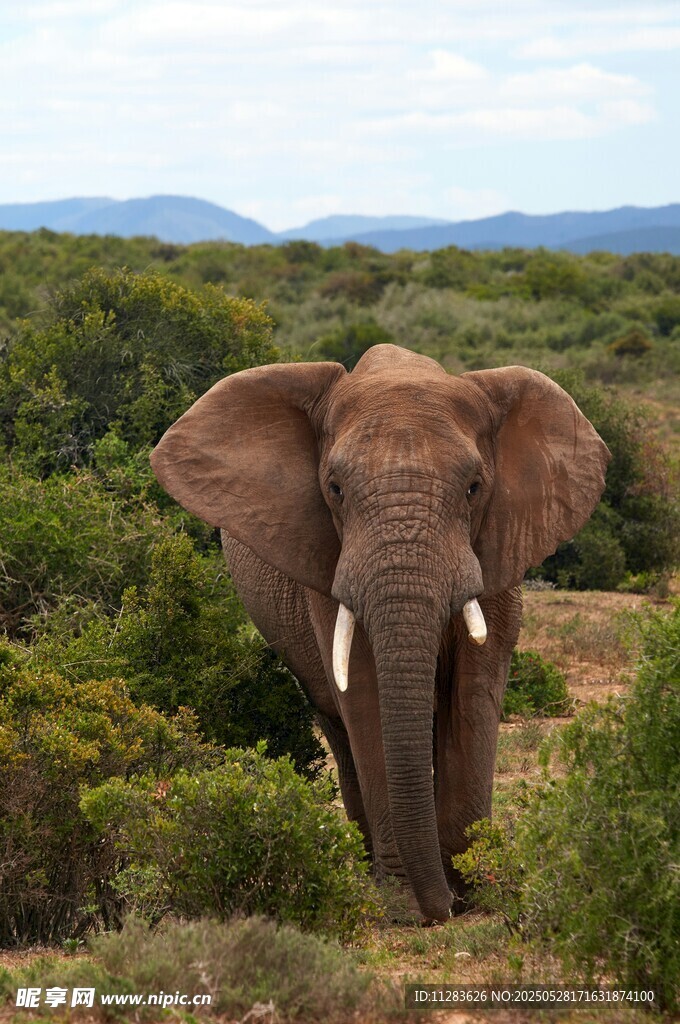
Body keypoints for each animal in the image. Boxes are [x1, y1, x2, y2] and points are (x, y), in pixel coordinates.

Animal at [150, 343, 610, 922]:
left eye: (474, 488)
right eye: (335, 489)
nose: (444, 909)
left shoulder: (499, 544)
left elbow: (475, 687)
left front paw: (477, 888)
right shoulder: (328, 562)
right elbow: (364, 690)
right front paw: (407, 902)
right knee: (336, 723)